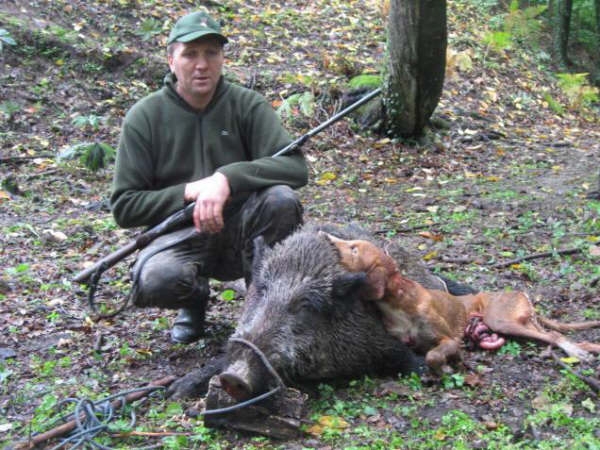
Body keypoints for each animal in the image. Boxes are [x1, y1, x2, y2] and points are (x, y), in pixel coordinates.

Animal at [323, 232, 600, 374]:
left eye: (354, 248)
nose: (326, 237)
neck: (398, 303)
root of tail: (520, 294)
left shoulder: (449, 339)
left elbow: (434, 355)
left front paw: (448, 365)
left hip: (501, 319)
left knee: (554, 335)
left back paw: (576, 353)